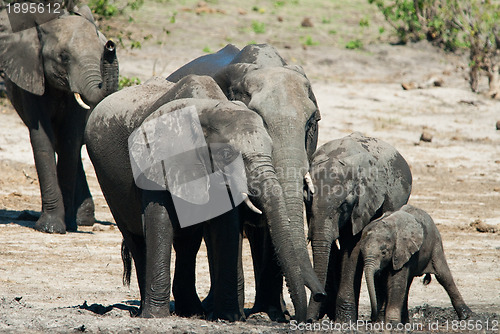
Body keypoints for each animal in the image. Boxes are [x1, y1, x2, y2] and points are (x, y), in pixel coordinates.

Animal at [0, 6, 119, 234]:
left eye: (101, 52)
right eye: (63, 57)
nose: (111, 46)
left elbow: (69, 140)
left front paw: (67, 226)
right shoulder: (31, 75)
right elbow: (42, 139)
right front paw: (50, 228)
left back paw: (81, 221)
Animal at [84, 75, 306, 320]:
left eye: (271, 150)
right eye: (226, 154)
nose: (298, 318)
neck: (205, 109)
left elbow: (226, 228)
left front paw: (228, 317)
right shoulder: (157, 161)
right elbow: (159, 219)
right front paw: (155, 317)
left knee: (187, 243)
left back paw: (192, 312)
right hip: (107, 182)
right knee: (136, 239)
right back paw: (148, 311)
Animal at [306, 132, 412, 320]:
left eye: (343, 206)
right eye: (308, 202)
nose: (310, 320)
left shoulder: (362, 204)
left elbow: (352, 246)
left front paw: (344, 322)